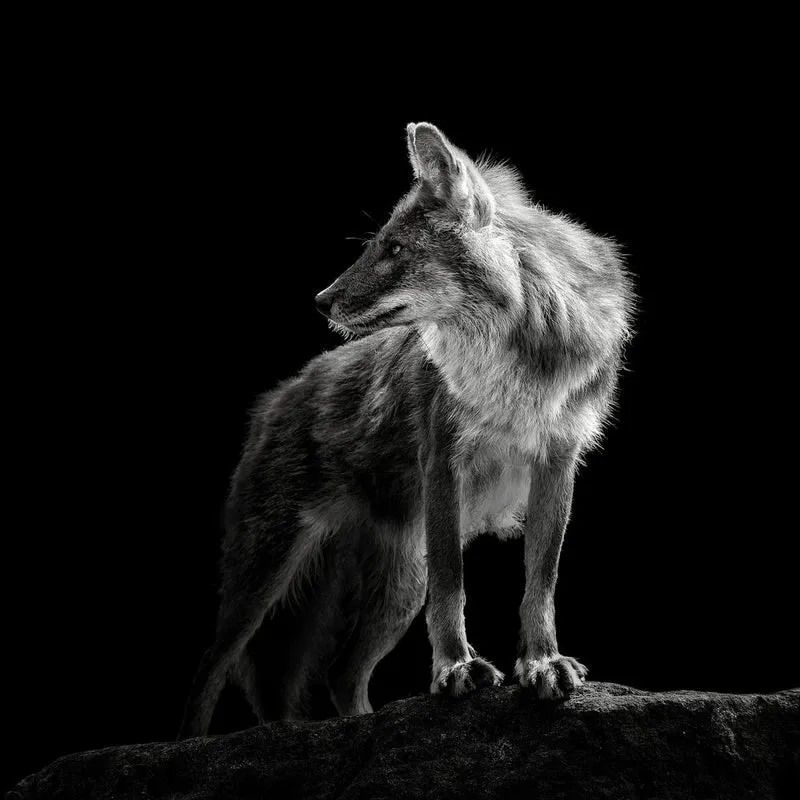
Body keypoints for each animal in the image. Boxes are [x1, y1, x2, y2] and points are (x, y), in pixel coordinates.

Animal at [178, 122, 635, 739]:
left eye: (396, 249)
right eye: (377, 244)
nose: (320, 300)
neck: (515, 369)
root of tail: (277, 397)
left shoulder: (557, 462)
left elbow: (541, 581)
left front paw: (541, 663)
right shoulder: (443, 463)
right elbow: (453, 583)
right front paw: (456, 669)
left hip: (397, 585)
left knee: (341, 674)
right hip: (265, 572)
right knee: (212, 667)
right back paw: (182, 745)